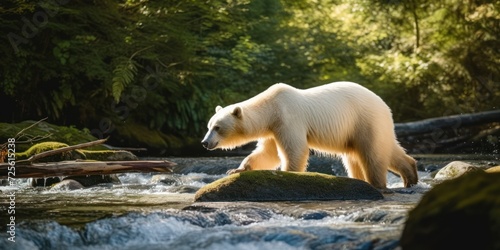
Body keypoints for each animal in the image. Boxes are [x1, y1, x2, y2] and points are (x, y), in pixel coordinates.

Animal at [202, 81, 418, 188]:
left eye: (217, 127)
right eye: (208, 125)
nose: (204, 142)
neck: (271, 107)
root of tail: (384, 105)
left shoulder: (288, 118)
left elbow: (295, 149)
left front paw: (288, 173)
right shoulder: (273, 127)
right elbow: (267, 153)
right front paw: (236, 169)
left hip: (364, 119)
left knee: (373, 153)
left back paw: (378, 183)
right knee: (376, 151)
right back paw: (410, 175)